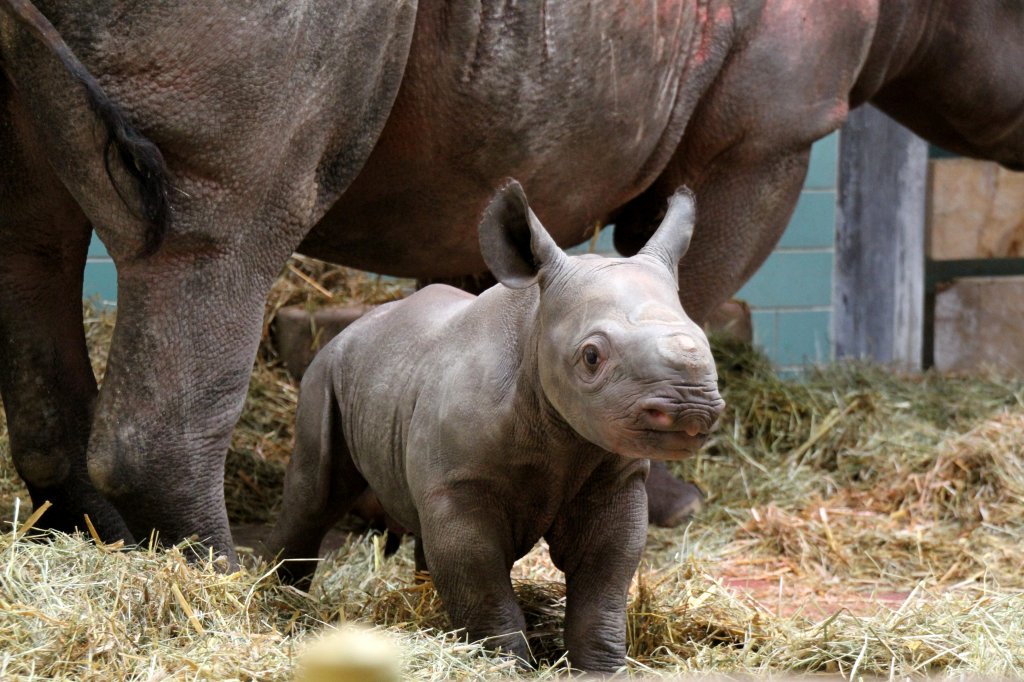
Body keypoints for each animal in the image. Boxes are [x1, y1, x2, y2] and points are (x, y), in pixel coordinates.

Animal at [0, 0, 1019, 561]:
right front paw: (672, 502)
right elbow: (691, 275)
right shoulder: (767, 131)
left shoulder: (493, 144)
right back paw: (221, 579)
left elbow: (491, 291)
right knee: (228, 223)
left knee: (34, 239)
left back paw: (95, 540)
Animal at [268, 179, 724, 667]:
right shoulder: (461, 480)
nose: (691, 408)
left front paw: (601, 668)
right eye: (591, 357)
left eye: (704, 340)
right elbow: (480, 579)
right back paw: (283, 601)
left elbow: (603, 578)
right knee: (314, 493)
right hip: (326, 369)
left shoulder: (612, 473)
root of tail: (363, 320)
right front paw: (505, 663)